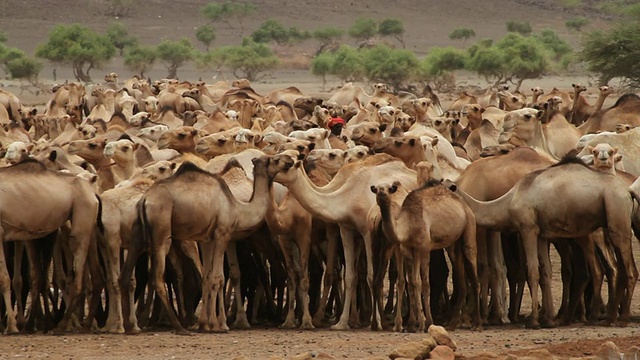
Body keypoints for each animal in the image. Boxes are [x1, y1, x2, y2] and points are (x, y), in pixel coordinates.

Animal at [0, 159, 100, 334]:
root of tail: (92, 191)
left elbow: (4, 278)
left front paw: (12, 326)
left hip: (81, 217)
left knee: (78, 277)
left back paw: (61, 325)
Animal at [370, 180, 480, 332]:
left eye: (388, 189)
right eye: (376, 189)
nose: (381, 193)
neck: (408, 223)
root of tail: (464, 205)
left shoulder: (425, 248)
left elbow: (425, 284)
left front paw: (427, 322)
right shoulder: (410, 248)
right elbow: (414, 282)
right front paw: (414, 324)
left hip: (469, 226)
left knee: (473, 269)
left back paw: (477, 324)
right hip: (454, 244)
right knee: (461, 278)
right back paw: (452, 324)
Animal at [448, 153, 636, 328]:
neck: (509, 200)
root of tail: (628, 191)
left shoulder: (528, 228)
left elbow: (532, 271)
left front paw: (533, 320)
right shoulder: (542, 234)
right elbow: (545, 272)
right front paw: (548, 319)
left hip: (615, 210)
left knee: (626, 269)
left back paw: (618, 318)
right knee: (615, 268)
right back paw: (606, 317)